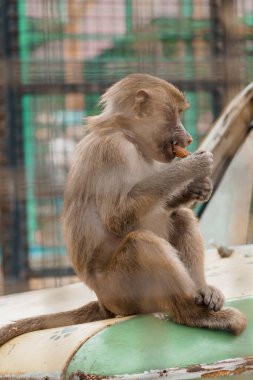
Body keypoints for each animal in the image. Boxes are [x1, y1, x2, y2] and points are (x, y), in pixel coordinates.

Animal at [0, 74, 246, 348]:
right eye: (177, 114)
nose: (189, 139)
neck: (128, 136)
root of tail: (103, 302)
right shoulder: (114, 151)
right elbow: (117, 218)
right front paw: (192, 167)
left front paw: (196, 187)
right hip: (121, 292)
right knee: (143, 243)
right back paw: (194, 315)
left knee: (180, 217)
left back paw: (202, 292)